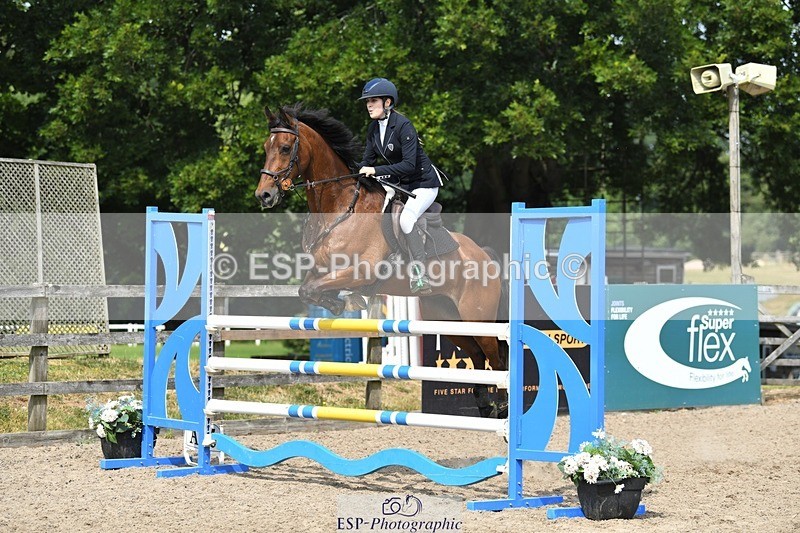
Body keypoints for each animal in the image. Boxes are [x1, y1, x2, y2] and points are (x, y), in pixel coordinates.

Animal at [255, 104, 506, 418]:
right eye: (267, 147)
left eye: (286, 148)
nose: (264, 195)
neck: (340, 207)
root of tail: (485, 255)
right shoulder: (321, 269)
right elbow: (307, 289)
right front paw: (339, 303)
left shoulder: (361, 271)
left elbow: (317, 288)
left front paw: (346, 302)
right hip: (447, 316)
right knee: (476, 355)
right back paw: (485, 406)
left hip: (476, 315)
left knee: (495, 357)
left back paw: (502, 407)